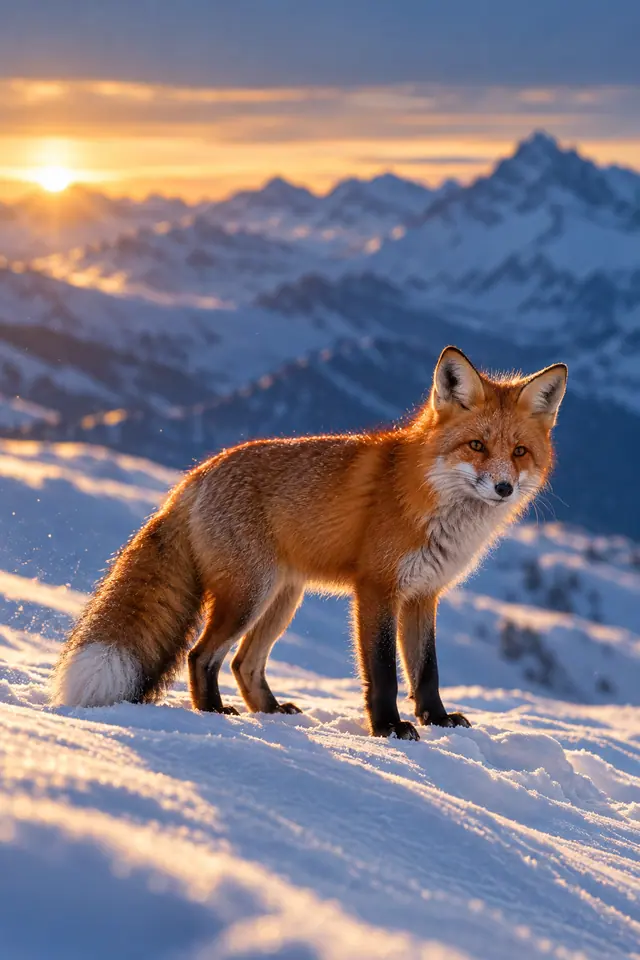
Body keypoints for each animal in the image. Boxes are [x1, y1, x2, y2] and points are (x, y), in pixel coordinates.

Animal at [52, 347, 567, 740]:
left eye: (519, 452)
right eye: (476, 446)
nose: (503, 487)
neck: (431, 501)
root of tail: (197, 473)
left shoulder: (424, 594)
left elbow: (426, 670)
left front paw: (436, 720)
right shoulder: (377, 588)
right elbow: (384, 671)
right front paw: (388, 729)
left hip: (283, 600)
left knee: (243, 663)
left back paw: (270, 711)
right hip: (249, 596)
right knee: (201, 655)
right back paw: (213, 713)